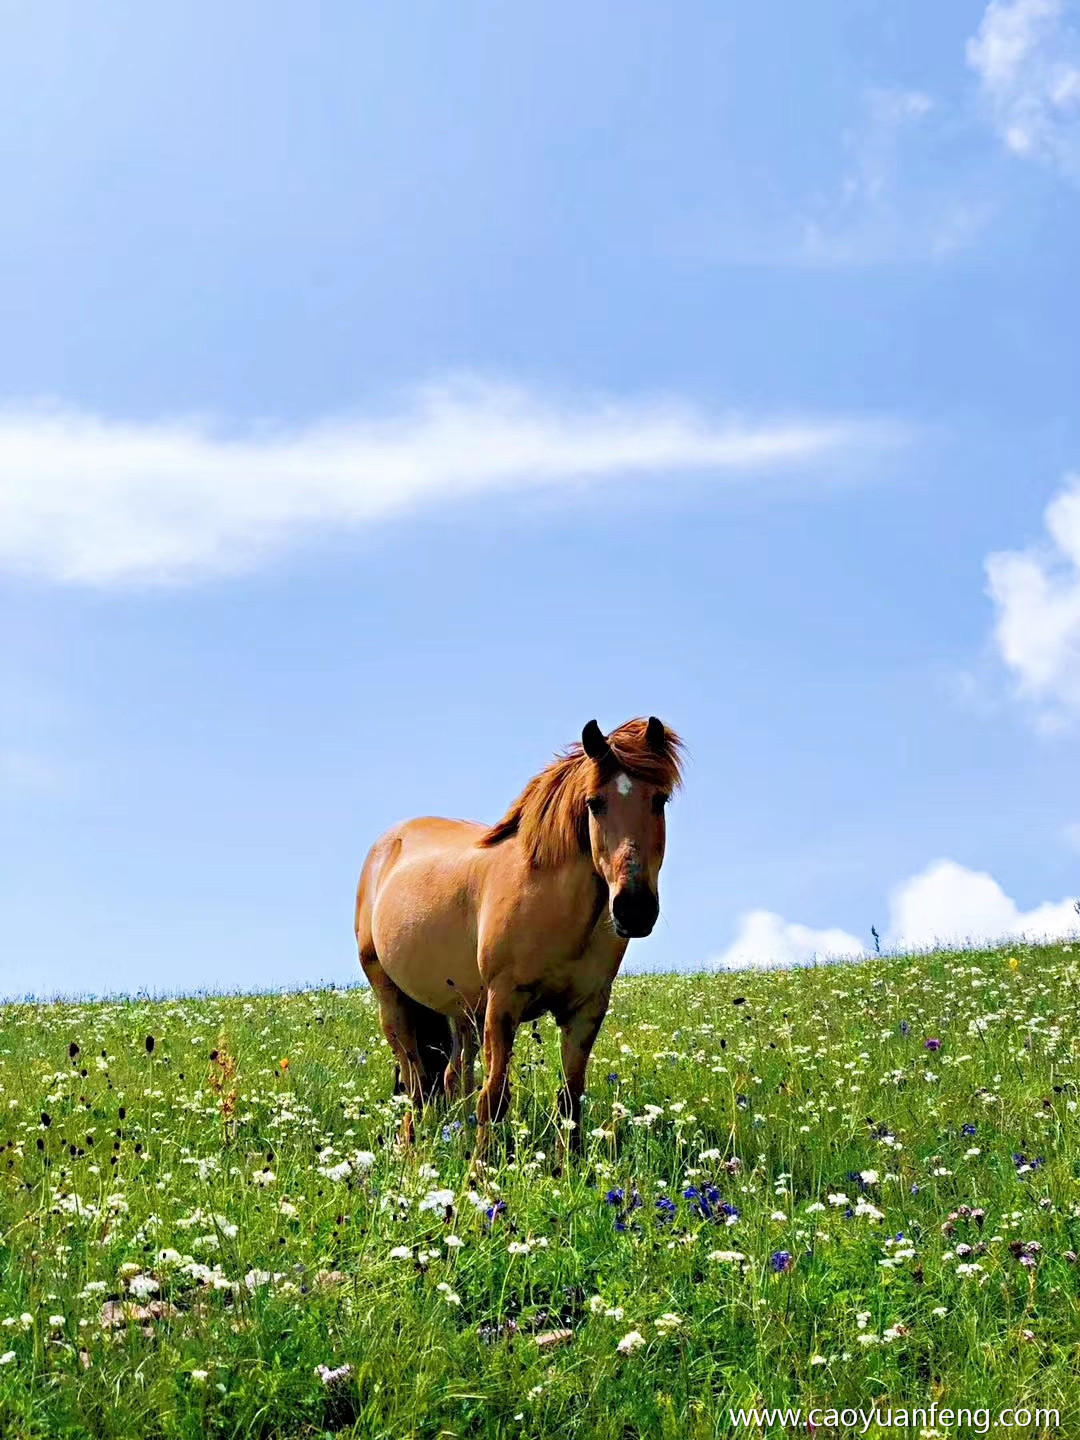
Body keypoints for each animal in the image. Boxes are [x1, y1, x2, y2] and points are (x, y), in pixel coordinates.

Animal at [360, 714, 688, 1163]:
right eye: (594, 803)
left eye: (660, 800)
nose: (633, 908)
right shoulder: (503, 1003)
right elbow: (494, 1097)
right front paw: (481, 1170)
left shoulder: (586, 1009)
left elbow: (570, 1098)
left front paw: (569, 1169)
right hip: (392, 998)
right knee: (417, 1083)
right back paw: (414, 1153)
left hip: (460, 1011)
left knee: (451, 1078)